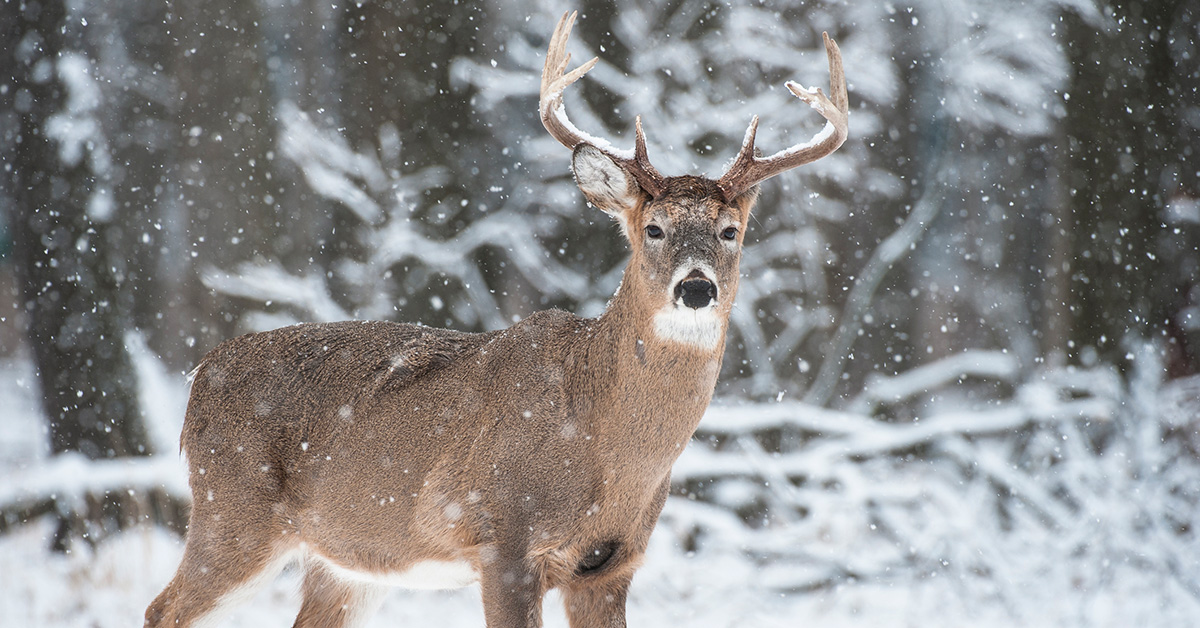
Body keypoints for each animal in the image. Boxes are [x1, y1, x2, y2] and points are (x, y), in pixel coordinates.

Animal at [145, 11, 849, 628]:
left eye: (730, 231)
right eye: (653, 228)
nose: (697, 287)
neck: (603, 442)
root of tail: (199, 377)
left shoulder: (613, 564)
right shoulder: (503, 536)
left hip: (345, 562)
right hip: (233, 513)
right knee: (162, 609)